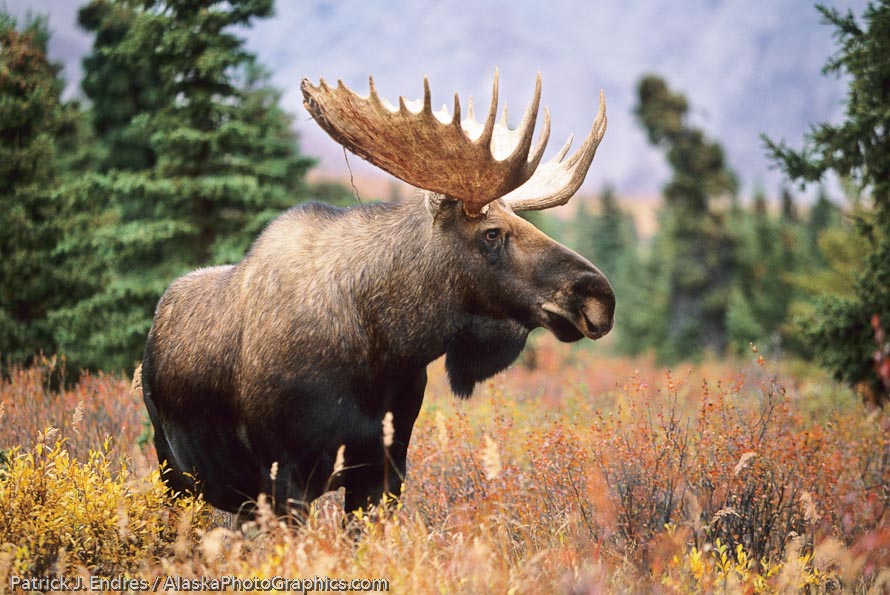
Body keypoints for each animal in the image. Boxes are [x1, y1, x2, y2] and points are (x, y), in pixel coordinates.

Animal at [140, 70, 612, 516]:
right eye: (491, 233)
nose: (600, 297)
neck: (386, 346)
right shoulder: (284, 474)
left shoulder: (386, 466)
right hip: (176, 474)